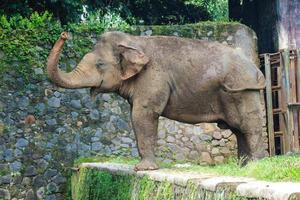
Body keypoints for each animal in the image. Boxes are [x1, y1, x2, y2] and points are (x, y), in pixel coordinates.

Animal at [47, 31, 268, 170]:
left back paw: (255, 166)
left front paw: (143, 169)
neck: (133, 41)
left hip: (243, 91)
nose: (64, 34)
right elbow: (137, 115)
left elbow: (143, 114)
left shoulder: (153, 77)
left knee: (249, 126)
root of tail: (256, 69)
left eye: (100, 64)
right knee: (238, 130)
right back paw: (243, 167)